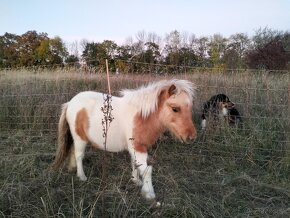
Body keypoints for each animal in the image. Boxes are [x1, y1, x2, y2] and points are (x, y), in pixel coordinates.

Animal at [52, 79, 197, 202]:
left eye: (189, 108)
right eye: (175, 108)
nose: (191, 136)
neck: (142, 117)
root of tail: (70, 103)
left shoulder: (135, 148)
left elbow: (135, 164)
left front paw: (135, 180)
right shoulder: (138, 147)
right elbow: (147, 170)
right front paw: (149, 194)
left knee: (72, 151)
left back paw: (72, 169)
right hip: (80, 138)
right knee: (79, 155)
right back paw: (82, 176)